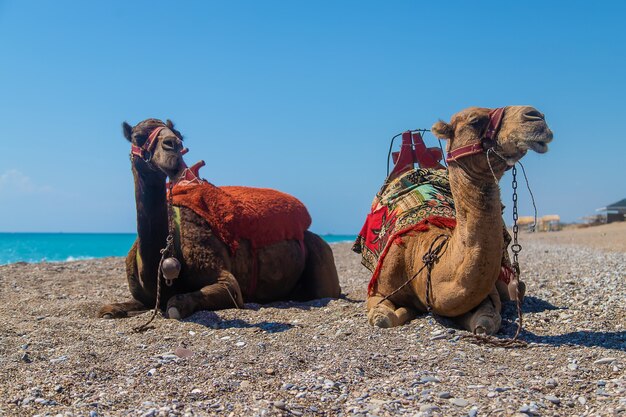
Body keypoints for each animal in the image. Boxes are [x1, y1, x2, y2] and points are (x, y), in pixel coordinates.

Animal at [354, 105, 552, 334]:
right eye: (475, 120)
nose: (535, 116)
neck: (417, 255)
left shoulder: (486, 297)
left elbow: (485, 322)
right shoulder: (378, 291)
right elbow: (383, 318)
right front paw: (404, 311)